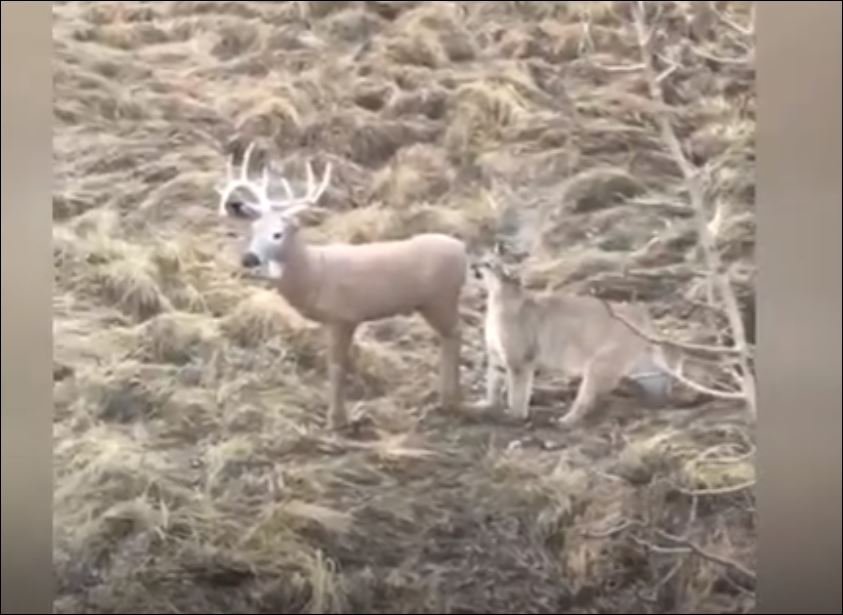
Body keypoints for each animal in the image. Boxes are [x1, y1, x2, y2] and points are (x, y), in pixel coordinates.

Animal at [216, 143, 468, 434]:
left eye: (277, 234)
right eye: (253, 230)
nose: (248, 258)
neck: (314, 273)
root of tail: (463, 251)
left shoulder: (343, 316)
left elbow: (336, 366)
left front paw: (336, 421)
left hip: (441, 298)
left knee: (455, 334)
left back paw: (450, 401)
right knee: (448, 336)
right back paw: (444, 398)